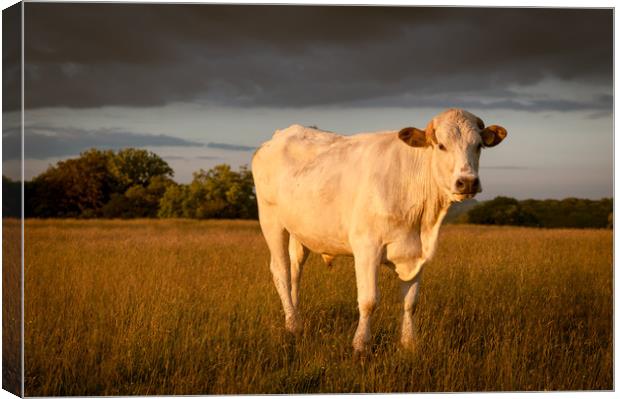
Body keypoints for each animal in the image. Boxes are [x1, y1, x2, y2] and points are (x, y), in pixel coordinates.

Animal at [252, 108, 508, 354]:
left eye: (478, 146)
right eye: (441, 145)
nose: (467, 182)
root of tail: (280, 134)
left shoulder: (417, 253)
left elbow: (410, 302)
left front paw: (409, 343)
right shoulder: (367, 248)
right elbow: (369, 300)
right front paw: (361, 344)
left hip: (300, 229)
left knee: (296, 270)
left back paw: (295, 317)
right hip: (271, 220)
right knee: (281, 270)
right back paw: (293, 325)